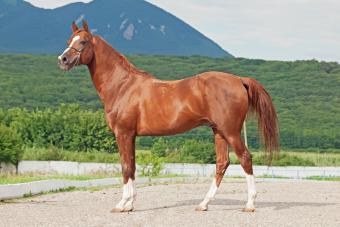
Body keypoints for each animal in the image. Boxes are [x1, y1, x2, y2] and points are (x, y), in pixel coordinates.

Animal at [58, 20, 278, 213]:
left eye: (83, 42)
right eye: (69, 40)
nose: (63, 60)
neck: (122, 86)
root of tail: (239, 80)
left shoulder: (123, 134)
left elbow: (126, 167)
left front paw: (122, 204)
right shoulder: (131, 136)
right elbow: (133, 166)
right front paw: (130, 204)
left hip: (231, 131)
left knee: (245, 158)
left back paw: (250, 204)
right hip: (219, 132)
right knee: (222, 163)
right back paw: (203, 204)